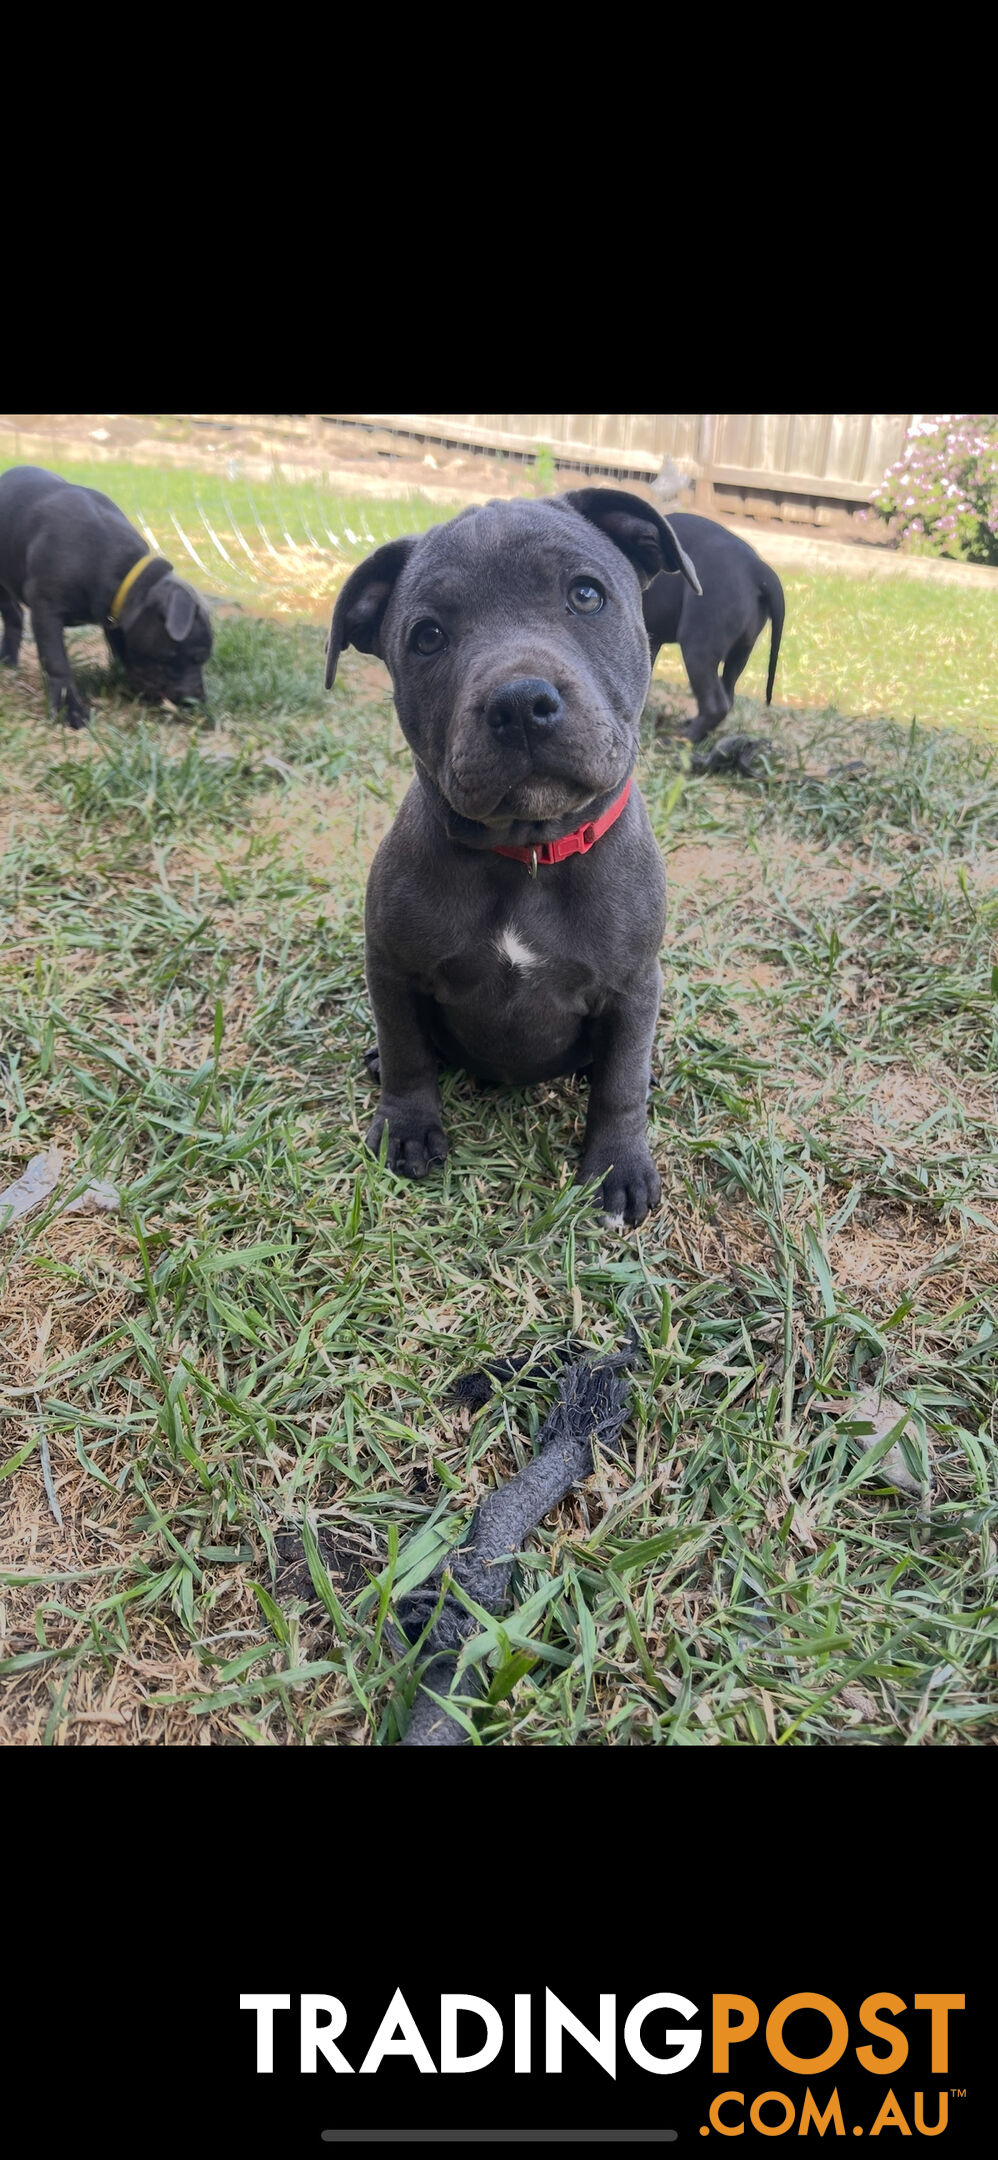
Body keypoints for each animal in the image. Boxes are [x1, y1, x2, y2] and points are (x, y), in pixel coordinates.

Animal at [0, 464, 212, 725]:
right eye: (196, 657)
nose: (198, 701)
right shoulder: (46, 610)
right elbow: (57, 661)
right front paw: (70, 709)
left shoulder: (114, 616)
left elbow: (123, 650)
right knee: (12, 614)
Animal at [328, 494, 699, 1235]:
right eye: (428, 637)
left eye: (586, 595)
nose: (520, 701)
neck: (527, 852)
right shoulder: (392, 963)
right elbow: (408, 1051)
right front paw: (407, 1127)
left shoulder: (633, 984)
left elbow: (617, 1086)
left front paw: (617, 1168)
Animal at [639, 509, 786, 747]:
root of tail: (757, 568)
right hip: (741, 650)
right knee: (727, 694)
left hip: (698, 646)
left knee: (715, 703)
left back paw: (683, 740)